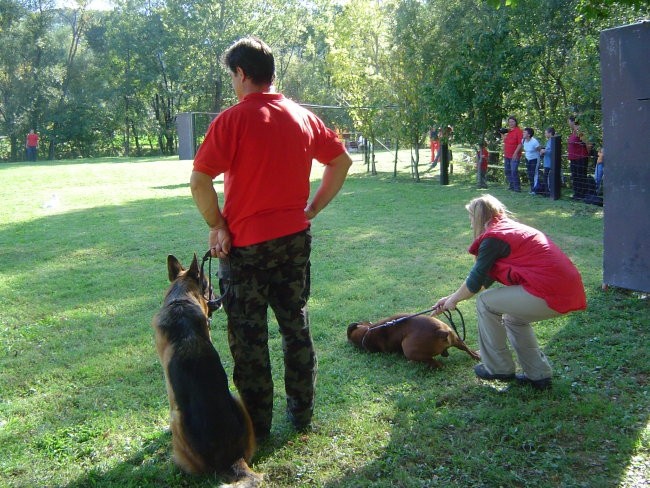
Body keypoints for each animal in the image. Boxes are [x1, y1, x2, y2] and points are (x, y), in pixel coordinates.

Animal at [152, 254, 260, 486]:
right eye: (210, 287)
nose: (220, 300)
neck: (181, 299)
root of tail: (232, 459)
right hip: (237, 399)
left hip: (177, 421)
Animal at [346, 314, 478, 368]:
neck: (366, 332)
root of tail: (439, 331)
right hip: (456, 338)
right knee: (465, 348)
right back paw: (476, 356)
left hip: (408, 349)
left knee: (435, 363)